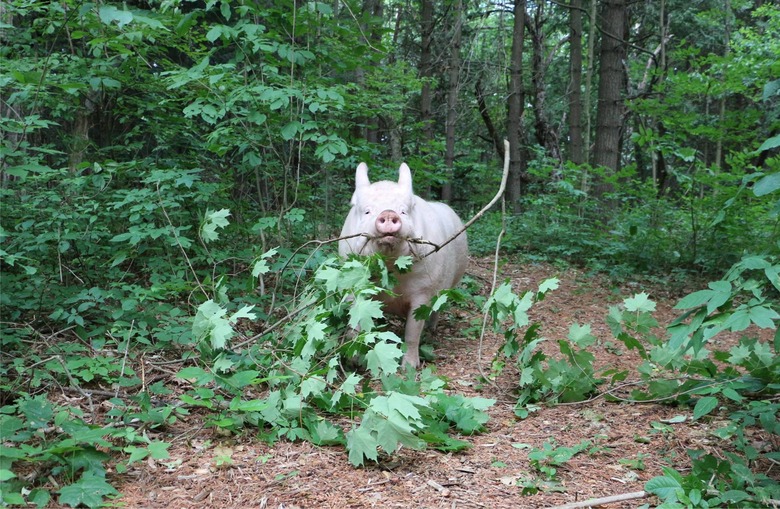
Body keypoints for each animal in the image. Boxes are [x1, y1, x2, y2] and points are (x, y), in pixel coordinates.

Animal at [336, 161, 470, 368]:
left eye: (403, 211)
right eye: (367, 211)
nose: (388, 212)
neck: (390, 268)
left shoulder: (423, 292)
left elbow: (412, 332)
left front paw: (409, 367)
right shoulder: (353, 286)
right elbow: (356, 320)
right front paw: (353, 360)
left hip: (451, 284)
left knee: (437, 309)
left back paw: (431, 331)